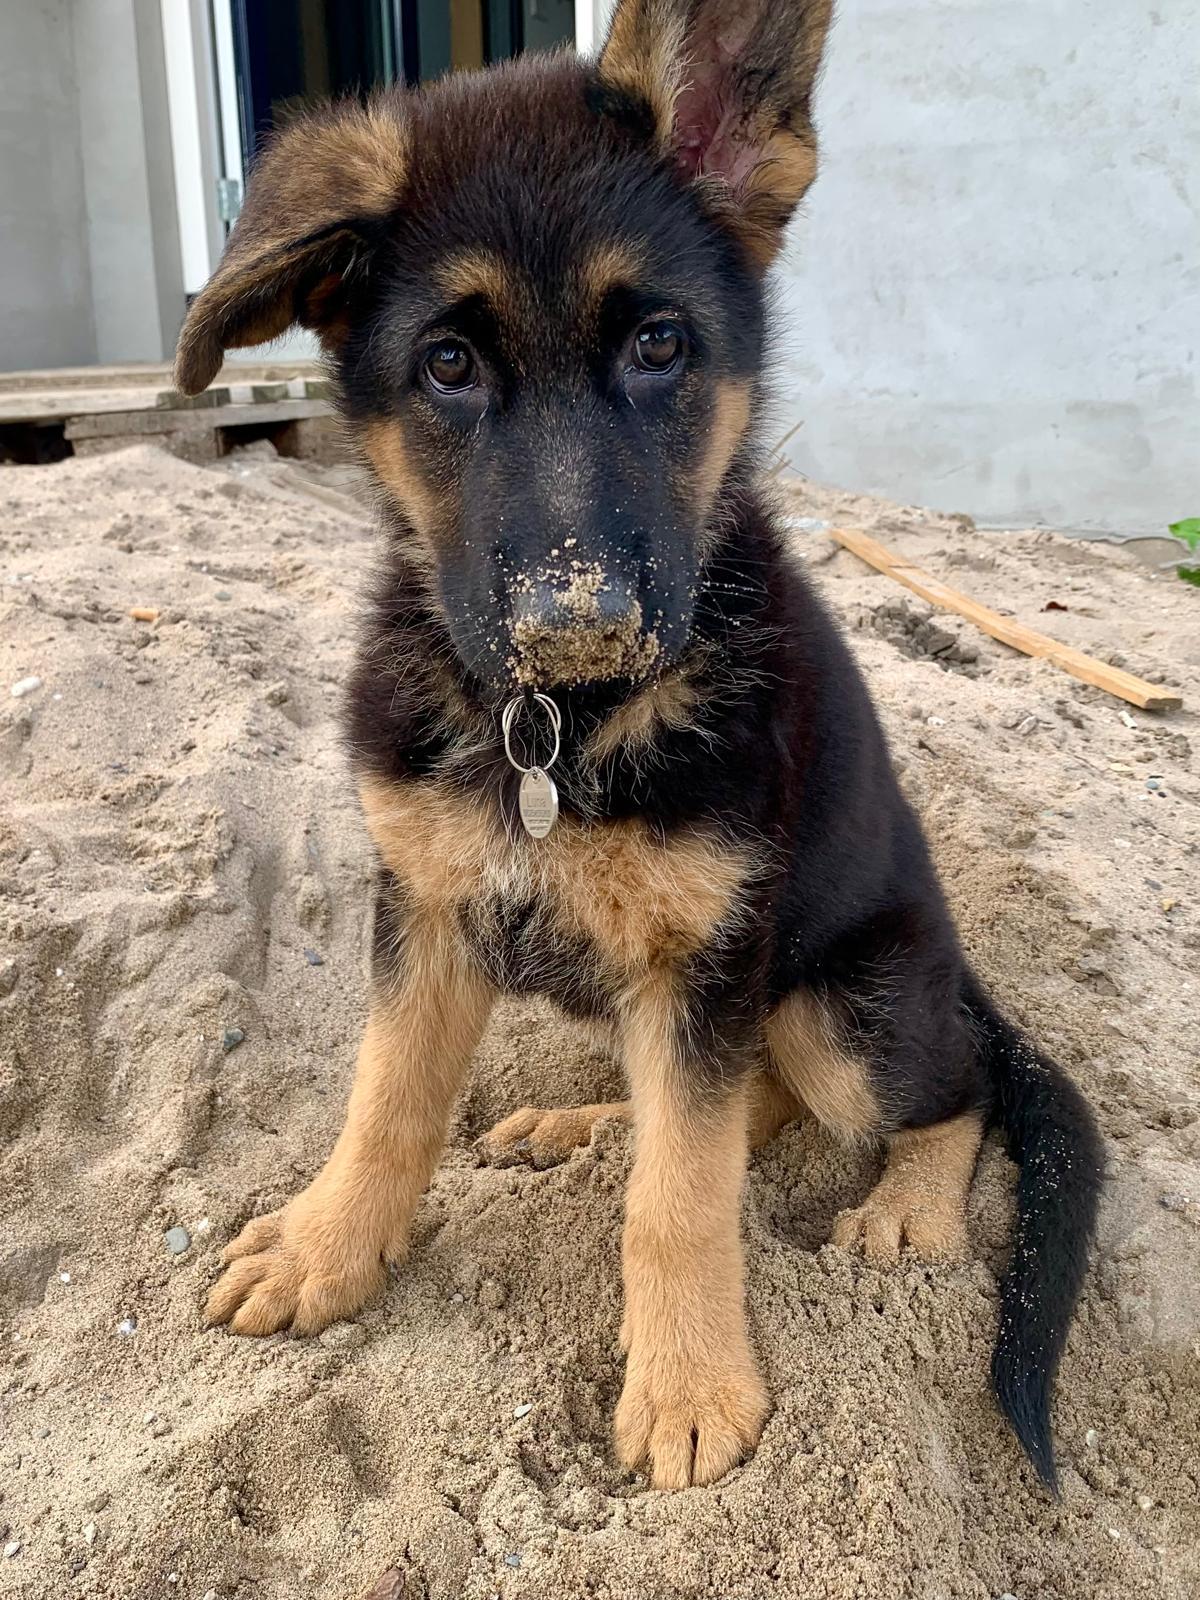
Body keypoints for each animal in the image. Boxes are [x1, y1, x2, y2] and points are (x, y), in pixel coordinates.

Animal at [175, 0, 1103, 1492]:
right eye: (448, 366)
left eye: (660, 345)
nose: (581, 625)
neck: (554, 731)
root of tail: (961, 974)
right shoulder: (426, 907)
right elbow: (388, 1100)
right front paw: (327, 1245)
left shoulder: (707, 955)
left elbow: (685, 1196)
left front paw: (688, 1385)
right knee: (743, 1103)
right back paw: (589, 1124)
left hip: (841, 1001)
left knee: (924, 1094)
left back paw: (908, 1205)